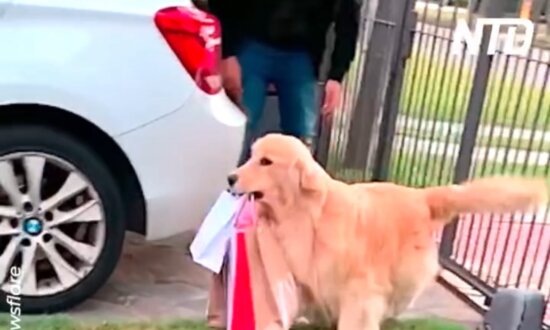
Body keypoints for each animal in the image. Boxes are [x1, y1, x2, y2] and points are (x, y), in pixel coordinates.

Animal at [227, 133, 548, 328]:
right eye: (252, 155)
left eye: (266, 162)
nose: (230, 178)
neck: (306, 214)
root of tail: (422, 196)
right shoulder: (310, 275)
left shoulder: (359, 287)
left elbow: (356, 314)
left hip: (404, 270)